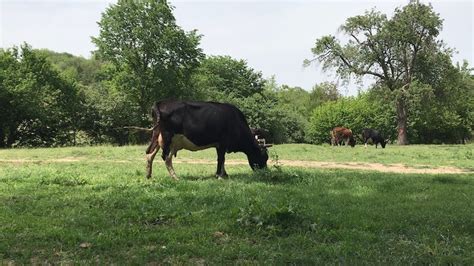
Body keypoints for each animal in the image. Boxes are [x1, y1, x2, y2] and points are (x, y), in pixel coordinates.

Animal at [144, 99, 272, 179]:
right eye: (264, 157)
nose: (265, 172)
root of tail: (161, 102)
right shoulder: (223, 142)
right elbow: (221, 159)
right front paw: (219, 175)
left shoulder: (219, 145)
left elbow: (222, 160)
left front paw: (224, 174)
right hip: (168, 137)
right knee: (166, 157)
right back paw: (175, 177)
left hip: (158, 136)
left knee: (150, 153)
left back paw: (148, 175)